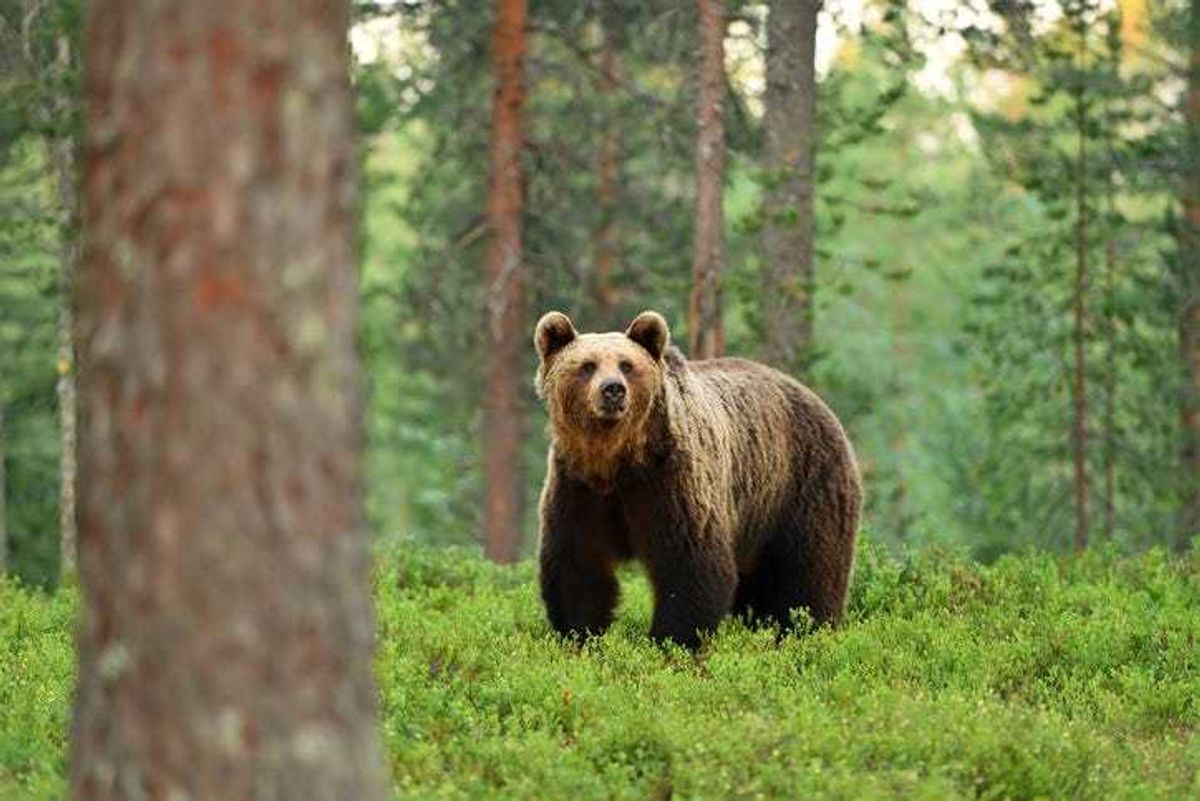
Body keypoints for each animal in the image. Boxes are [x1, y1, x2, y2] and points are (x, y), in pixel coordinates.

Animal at [533, 309, 862, 649]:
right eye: (587, 365)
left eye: (627, 364)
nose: (613, 389)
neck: (618, 461)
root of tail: (816, 399)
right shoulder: (579, 489)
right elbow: (579, 567)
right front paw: (580, 636)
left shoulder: (670, 483)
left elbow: (690, 565)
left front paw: (670, 642)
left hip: (802, 486)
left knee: (810, 573)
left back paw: (808, 631)